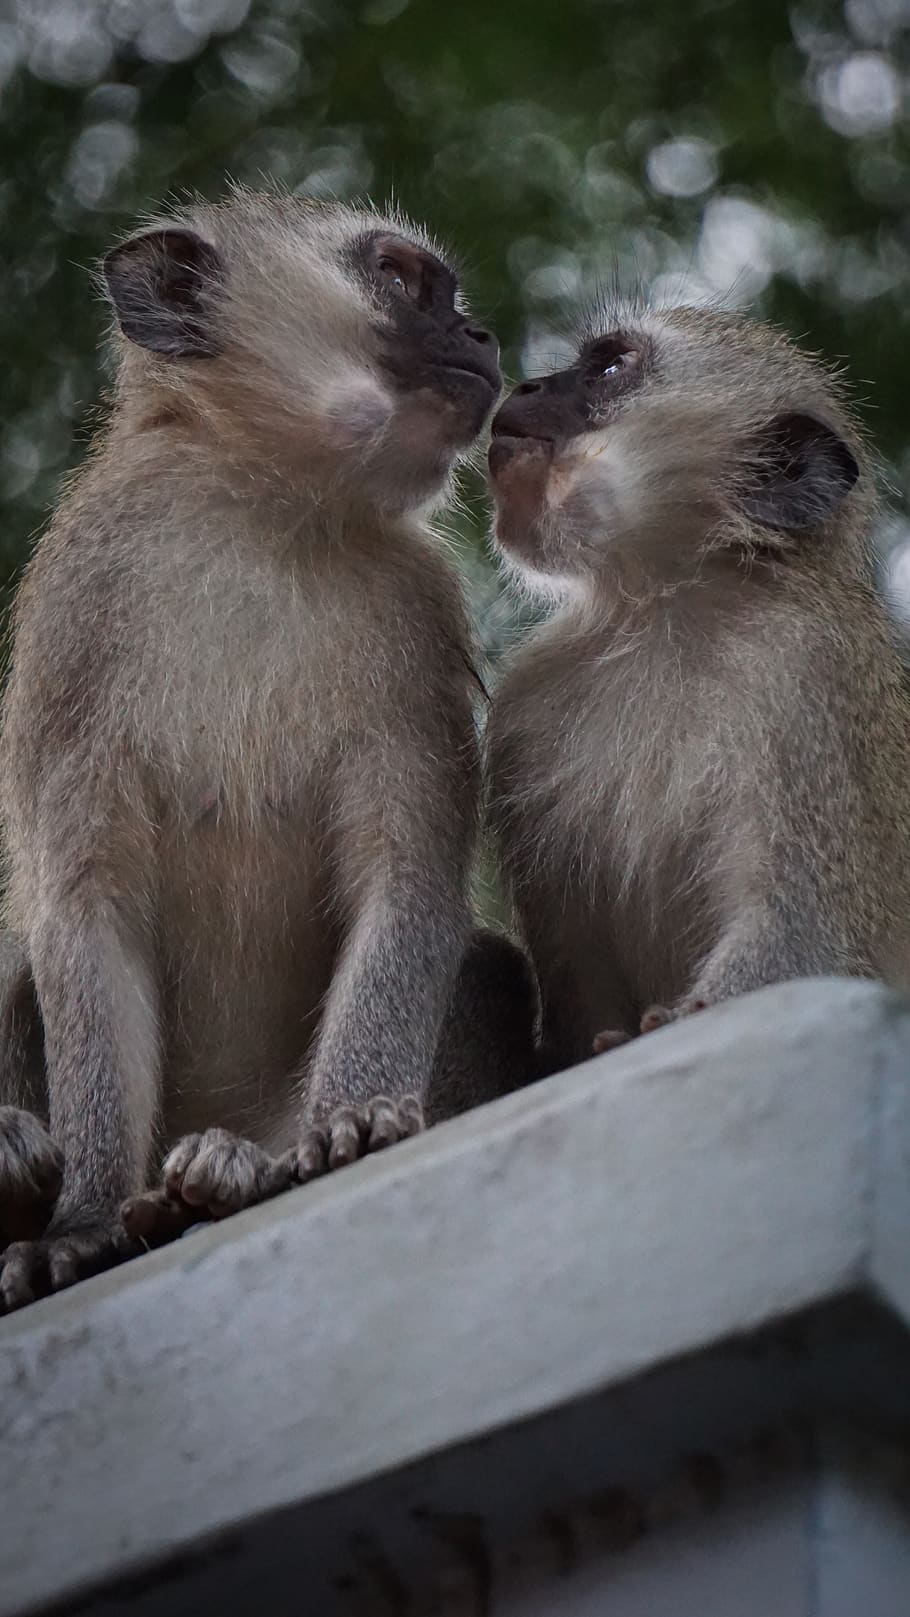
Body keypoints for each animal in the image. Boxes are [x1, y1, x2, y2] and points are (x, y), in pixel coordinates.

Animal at [0, 188, 529, 1307]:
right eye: (403, 279)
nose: (480, 336)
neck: (265, 510)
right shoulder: (77, 612)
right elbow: (86, 914)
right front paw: (82, 1221)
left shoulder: (417, 616)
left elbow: (406, 881)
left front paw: (354, 1125)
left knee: (484, 969)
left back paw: (231, 1176)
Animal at [484, 300, 910, 1077]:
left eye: (609, 366)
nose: (526, 385)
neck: (662, 606)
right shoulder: (526, 707)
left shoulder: (804, 674)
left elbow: (802, 932)